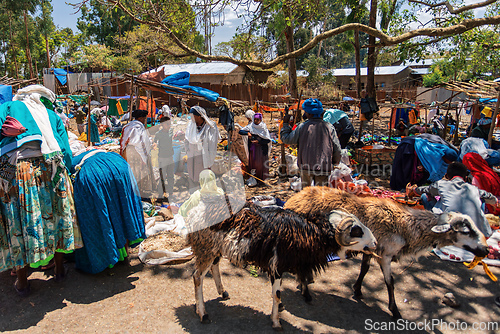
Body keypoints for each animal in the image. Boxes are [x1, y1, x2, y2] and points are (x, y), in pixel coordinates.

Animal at [284, 187, 490, 320]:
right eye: (466, 231)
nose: (486, 250)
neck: (407, 227)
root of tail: (293, 199)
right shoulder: (386, 255)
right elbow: (390, 282)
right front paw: (395, 311)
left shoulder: (372, 248)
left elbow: (365, 269)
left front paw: (357, 290)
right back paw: (304, 287)